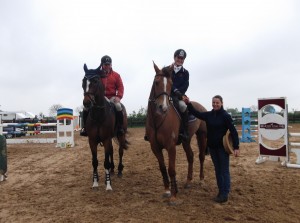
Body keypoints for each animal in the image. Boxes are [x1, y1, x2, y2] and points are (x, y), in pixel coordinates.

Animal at [82, 63, 129, 191]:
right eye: (83, 81)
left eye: (95, 81)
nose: (86, 103)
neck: (98, 115)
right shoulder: (92, 140)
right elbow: (95, 161)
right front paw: (95, 182)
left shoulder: (106, 139)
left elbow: (106, 162)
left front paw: (108, 184)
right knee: (112, 152)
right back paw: (112, 170)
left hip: (120, 135)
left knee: (120, 151)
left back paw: (119, 170)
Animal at [145, 61, 206, 205]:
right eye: (156, 82)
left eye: (171, 84)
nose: (163, 107)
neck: (158, 119)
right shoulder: (155, 147)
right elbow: (162, 167)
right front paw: (167, 190)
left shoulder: (170, 146)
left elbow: (171, 169)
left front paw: (174, 196)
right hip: (186, 140)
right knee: (190, 156)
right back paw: (188, 181)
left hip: (202, 136)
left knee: (201, 156)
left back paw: (201, 180)